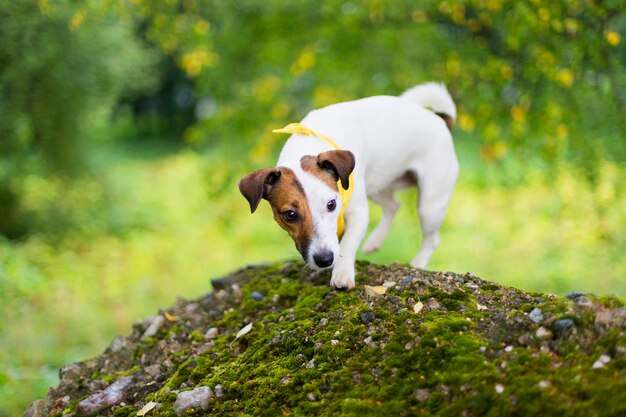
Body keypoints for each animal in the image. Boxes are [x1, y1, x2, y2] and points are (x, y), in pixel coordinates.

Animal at [236, 81, 456, 290]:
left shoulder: (358, 213)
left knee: (431, 239)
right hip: (375, 184)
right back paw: (375, 240)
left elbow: (348, 243)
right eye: (290, 215)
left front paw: (342, 274)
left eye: (331, 204)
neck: (309, 144)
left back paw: (417, 263)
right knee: (393, 205)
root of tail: (440, 121)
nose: (324, 260)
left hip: (430, 204)